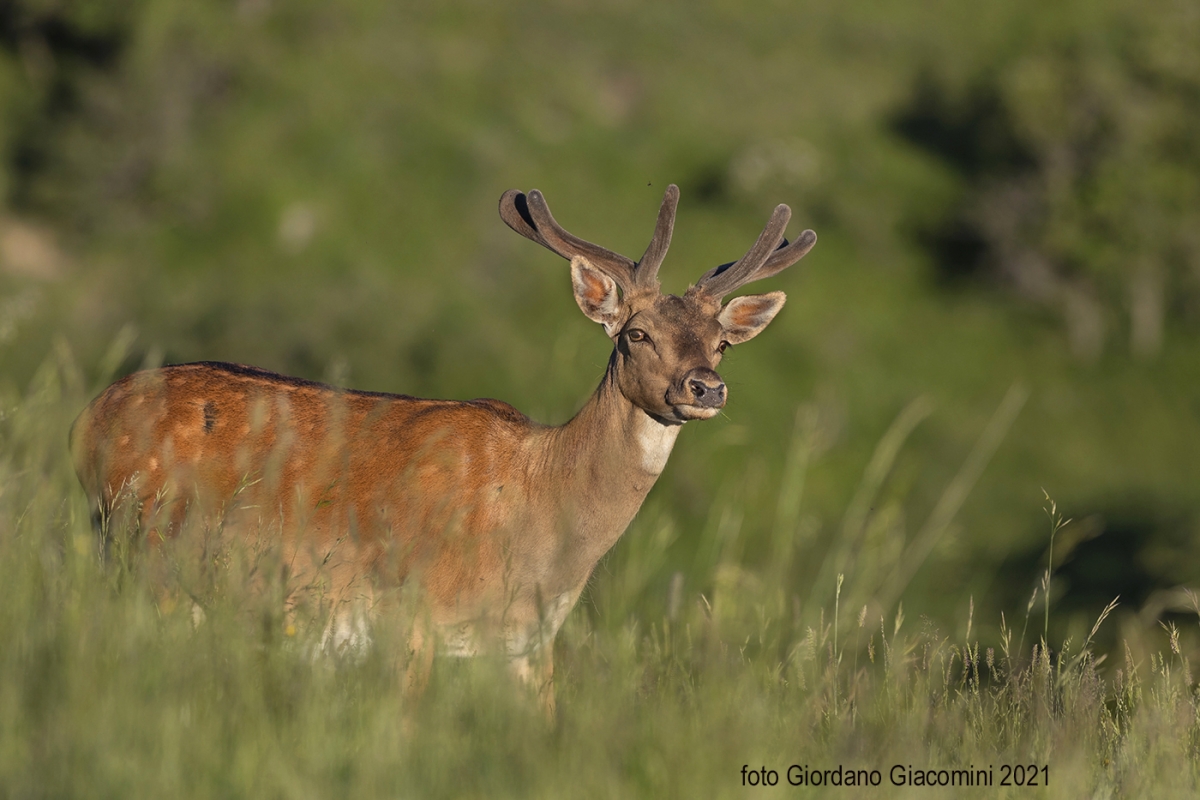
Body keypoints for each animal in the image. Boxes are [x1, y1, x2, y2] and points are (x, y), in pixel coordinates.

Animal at [70, 185, 820, 714]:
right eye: (635, 333)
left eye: (721, 343)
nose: (706, 386)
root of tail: (86, 420)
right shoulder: (410, 616)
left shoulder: (531, 647)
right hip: (150, 557)